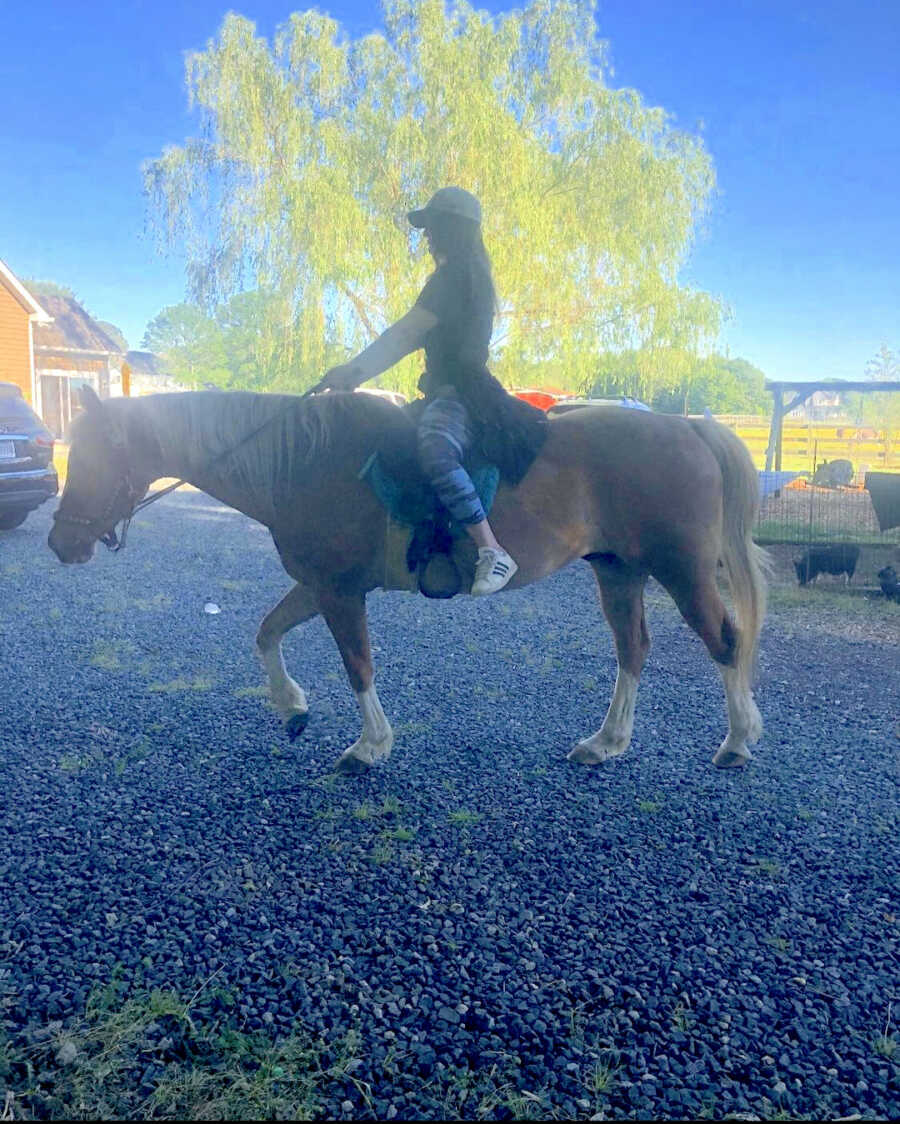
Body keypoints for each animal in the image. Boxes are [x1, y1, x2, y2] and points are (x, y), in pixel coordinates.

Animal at [47, 386, 764, 773]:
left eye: (93, 457)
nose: (60, 542)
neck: (302, 462)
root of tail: (686, 426)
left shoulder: (340, 592)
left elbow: (358, 666)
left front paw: (369, 746)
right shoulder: (317, 584)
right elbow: (265, 633)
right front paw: (291, 706)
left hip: (681, 570)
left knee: (724, 642)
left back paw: (736, 741)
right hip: (619, 571)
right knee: (633, 650)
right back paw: (607, 742)